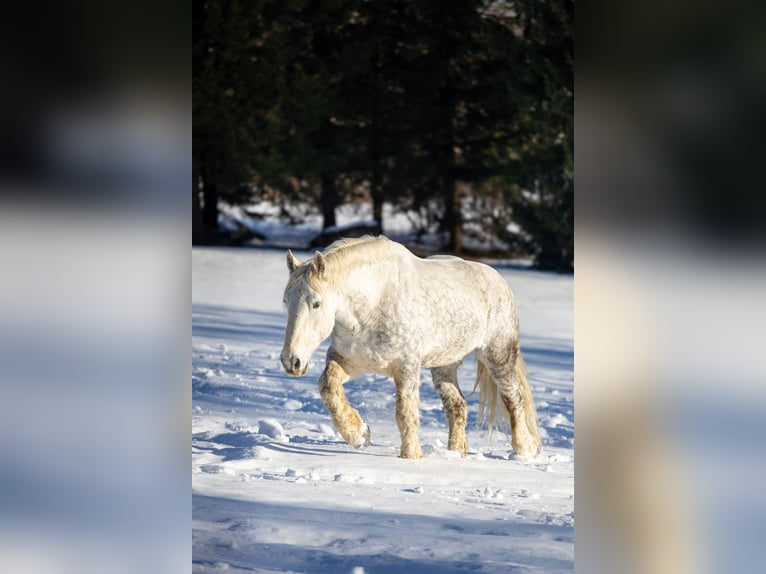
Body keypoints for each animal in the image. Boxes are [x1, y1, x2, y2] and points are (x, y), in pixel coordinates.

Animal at [280, 235, 541, 459]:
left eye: (316, 303)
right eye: (285, 301)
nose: (291, 360)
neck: (374, 303)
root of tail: (498, 279)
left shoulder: (406, 366)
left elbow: (406, 412)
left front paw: (411, 456)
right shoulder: (349, 361)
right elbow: (328, 387)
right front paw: (359, 434)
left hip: (498, 356)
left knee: (514, 399)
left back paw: (524, 451)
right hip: (444, 366)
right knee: (457, 406)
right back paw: (455, 454)